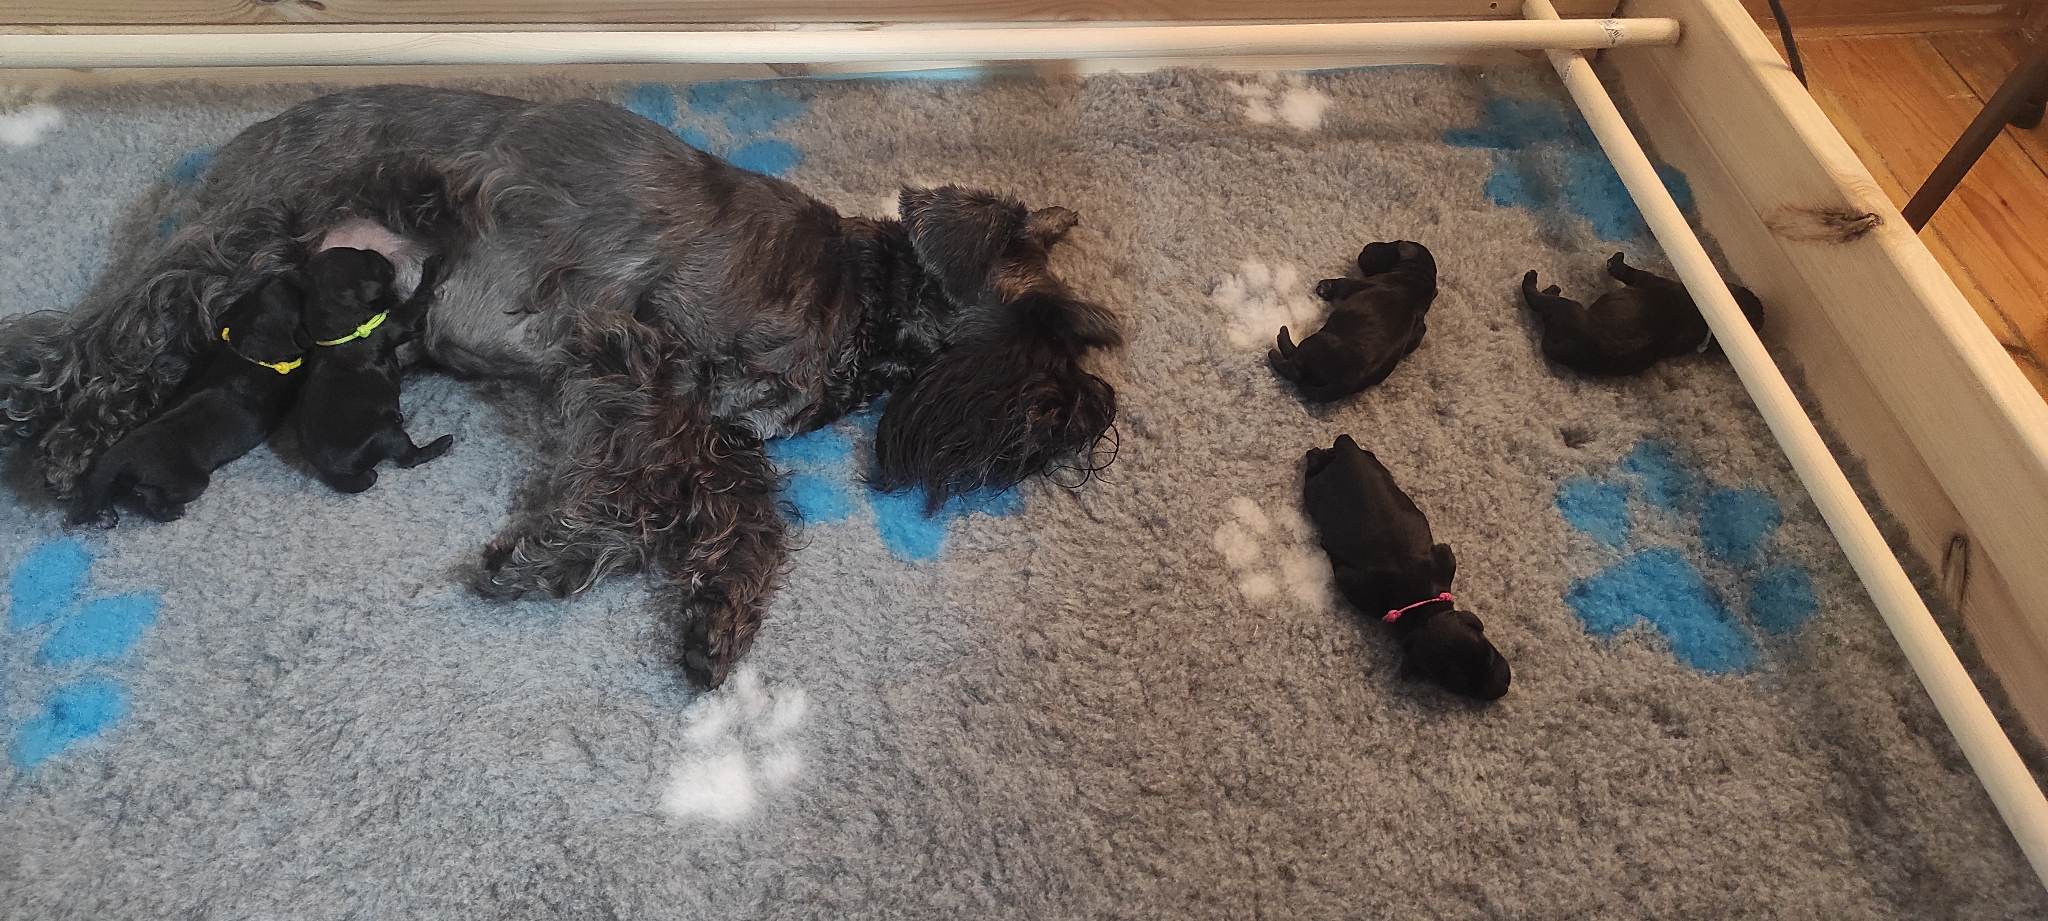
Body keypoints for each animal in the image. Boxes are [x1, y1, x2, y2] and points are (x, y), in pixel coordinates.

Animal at [69, 273, 309, 525]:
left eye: (260, 289)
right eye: (297, 297)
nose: (283, 276)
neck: (254, 349)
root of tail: (119, 454)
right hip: (193, 482)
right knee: (146, 491)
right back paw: (169, 509)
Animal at [294, 247, 453, 493]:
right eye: (365, 258)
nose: (378, 253)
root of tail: (337, 473)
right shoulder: (397, 325)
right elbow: (417, 301)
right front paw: (432, 268)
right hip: (387, 434)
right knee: (409, 458)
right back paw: (441, 443)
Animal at [1268, 241, 1438, 401]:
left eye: (1393, 242)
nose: (1367, 246)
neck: (1419, 281)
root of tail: (1347, 382)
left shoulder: (1361, 283)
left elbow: (1342, 283)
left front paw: (1325, 287)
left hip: (1316, 342)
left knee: (1293, 369)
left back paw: (1279, 342)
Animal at [1302, 434, 1511, 701]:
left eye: (1489, 656)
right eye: (1458, 685)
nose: (1503, 688)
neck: (1421, 603)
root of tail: (1346, 448)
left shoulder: (1444, 557)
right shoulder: (1352, 585)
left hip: (1372, 461)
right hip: (1314, 489)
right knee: (1313, 468)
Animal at [1520, 252, 1766, 377]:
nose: (1760, 305)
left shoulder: (1644, 279)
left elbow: (1625, 270)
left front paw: (1616, 260)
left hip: (1568, 308)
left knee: (1536, 300)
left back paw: (1535, 280)